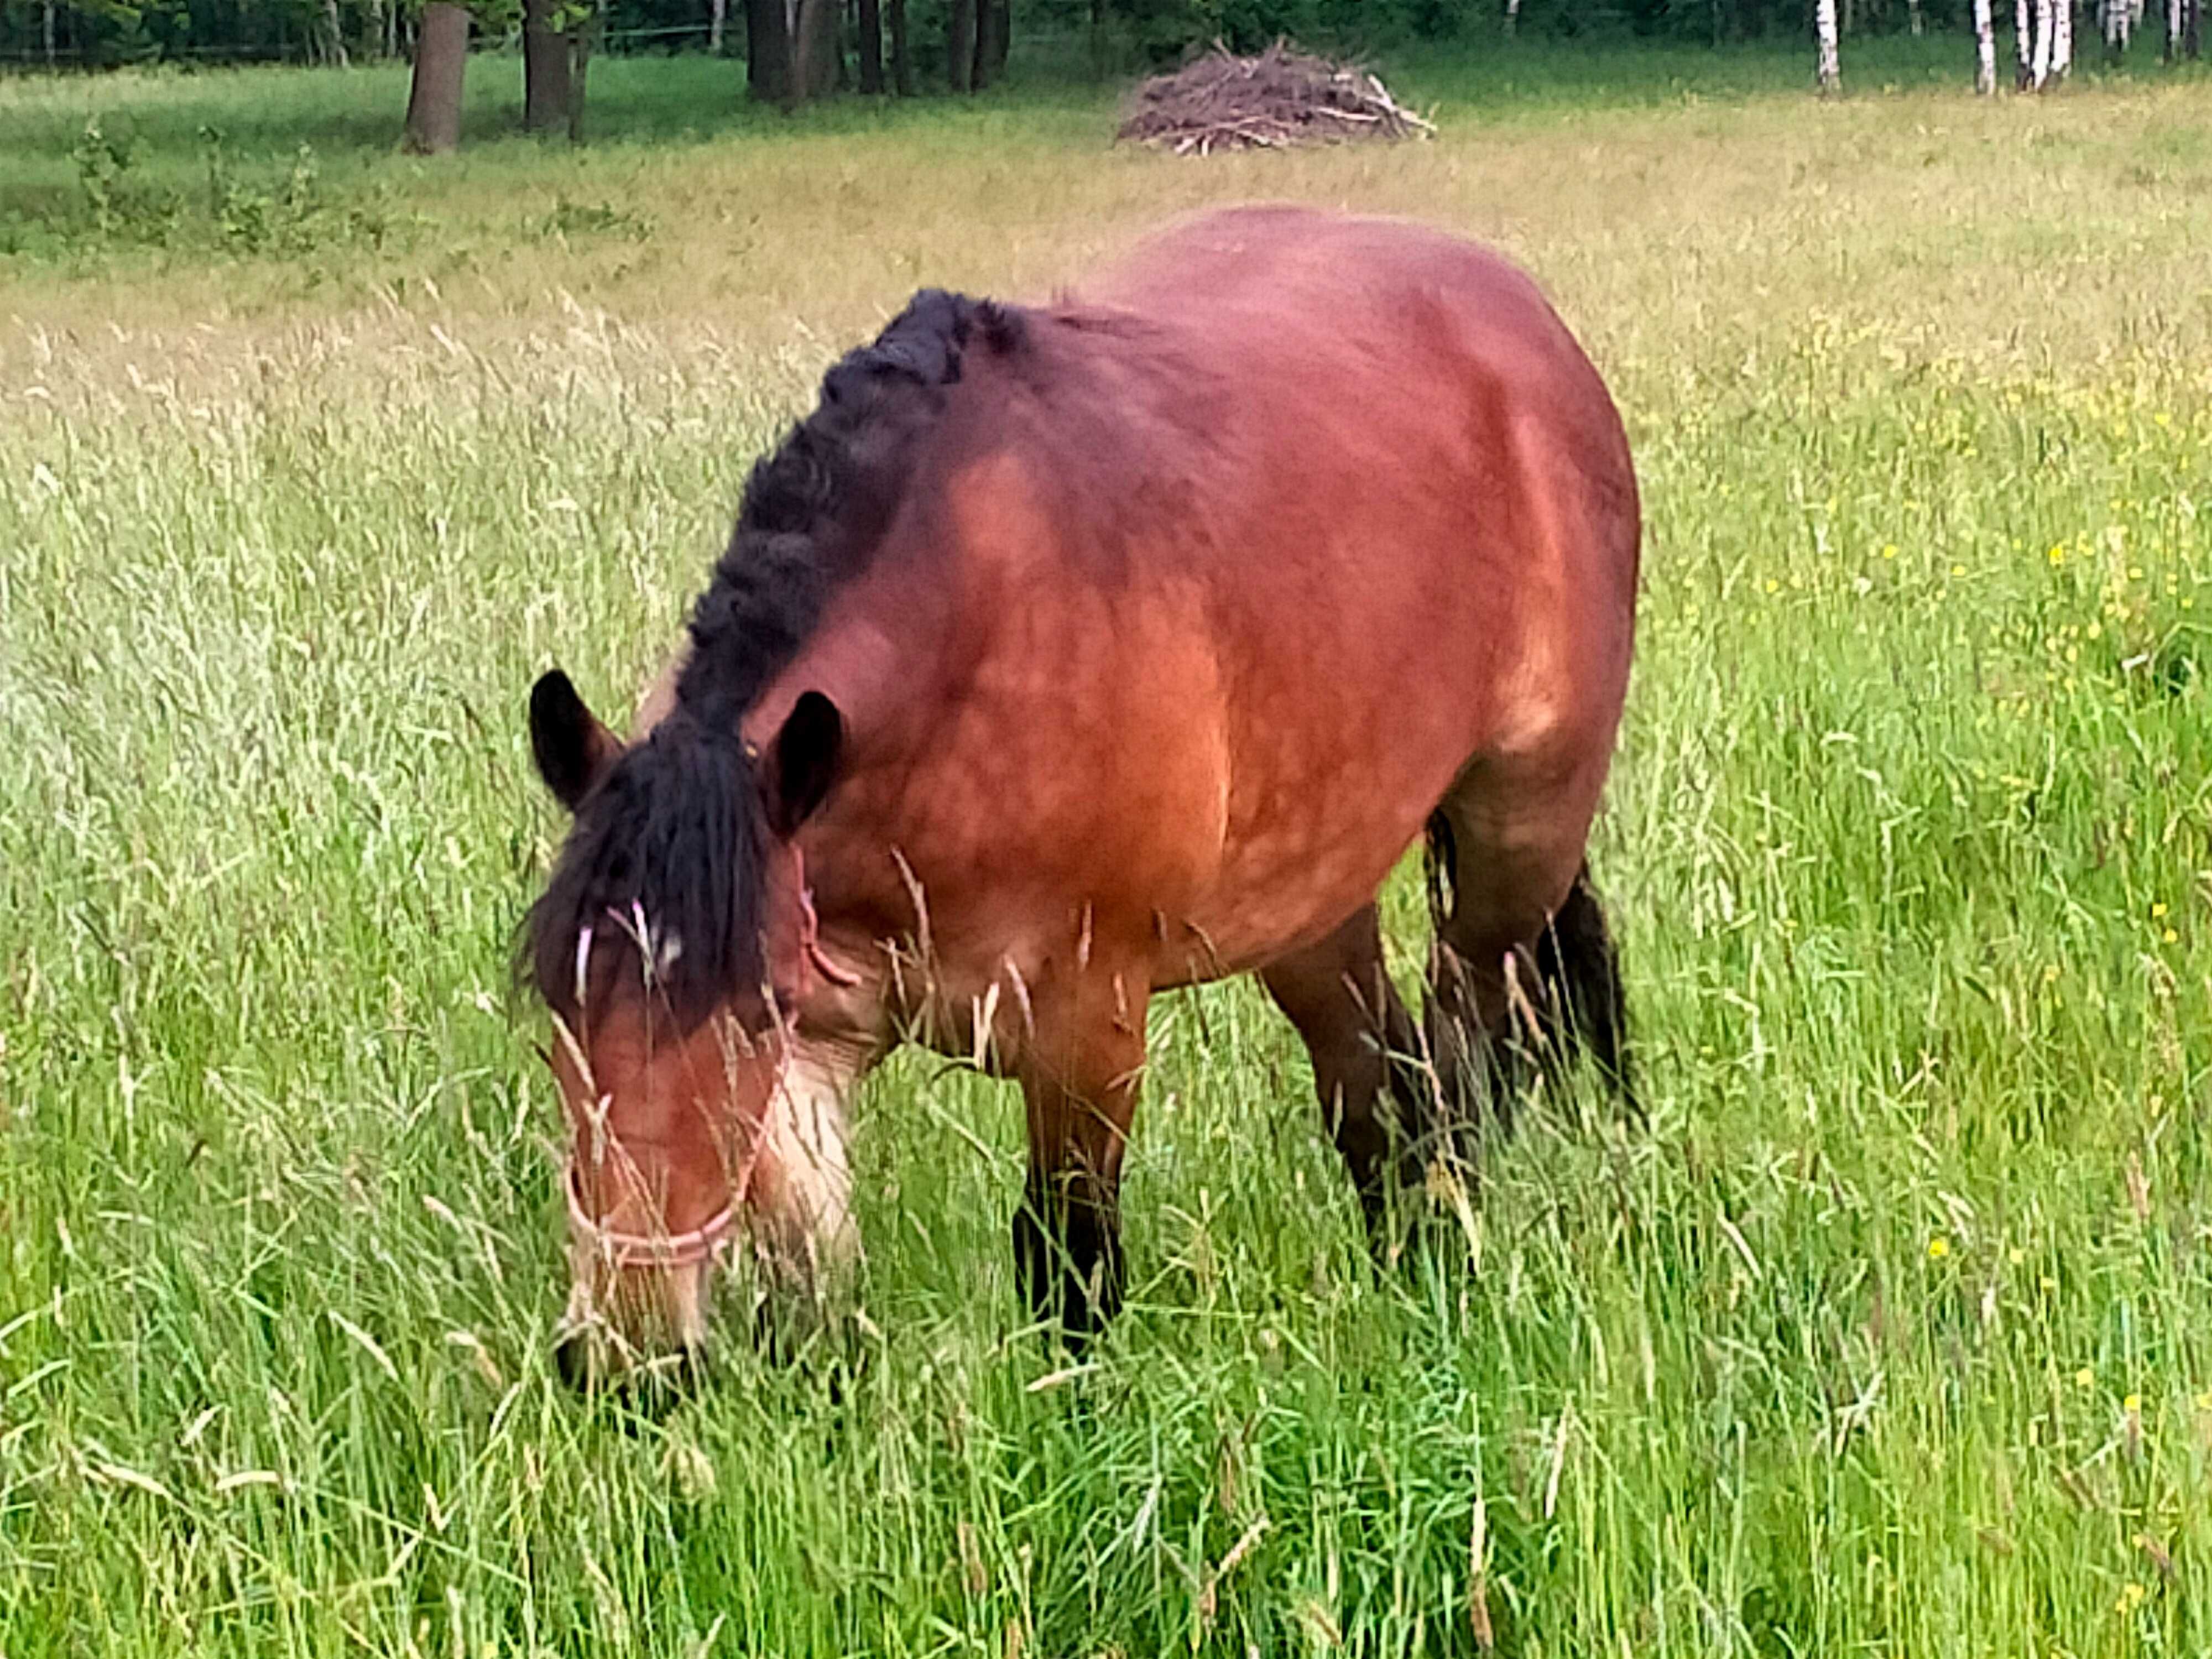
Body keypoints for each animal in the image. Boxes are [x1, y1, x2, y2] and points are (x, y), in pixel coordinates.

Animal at [522, 201, 1646, 1380]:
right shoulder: (820, 1048)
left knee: (1461, 1066)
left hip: (1513, 853)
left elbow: (1072, 1267)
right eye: (561, 1008)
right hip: (1313, 903)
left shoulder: (1087, 1027)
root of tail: (1523, 321)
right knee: (1379, 1097)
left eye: (745, 1014)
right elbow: (817, 1300)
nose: (625, 1354)